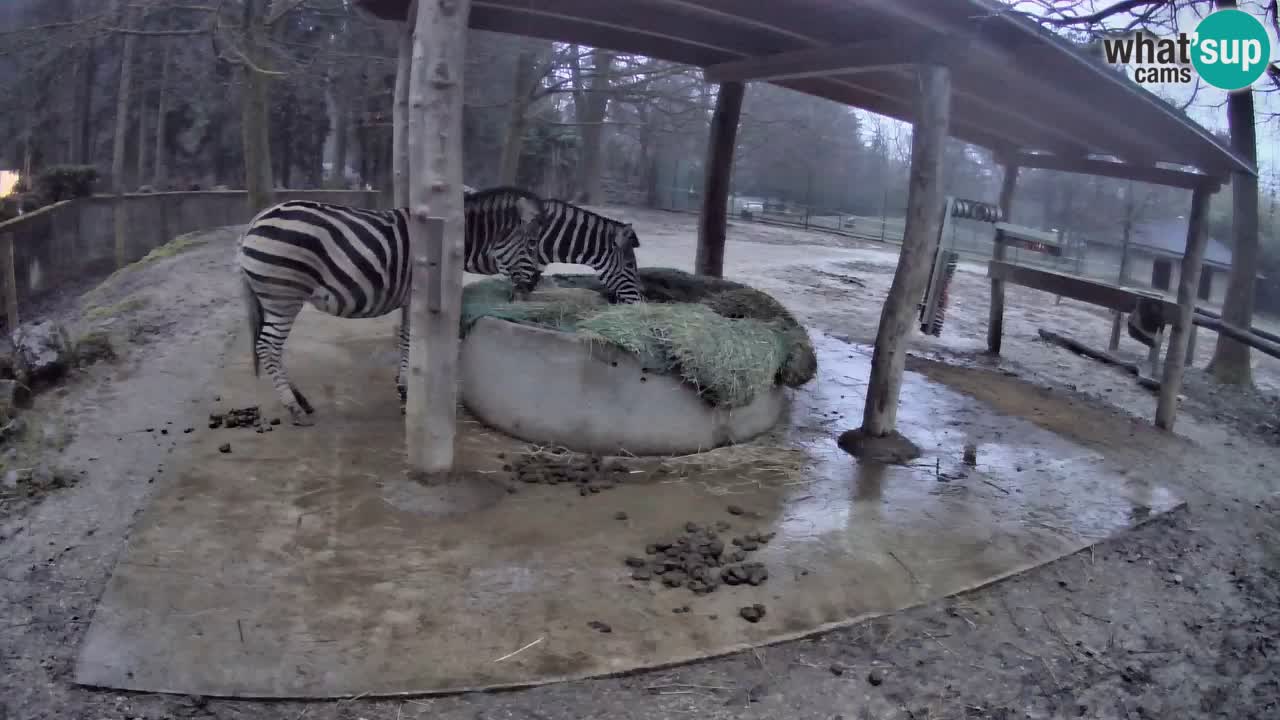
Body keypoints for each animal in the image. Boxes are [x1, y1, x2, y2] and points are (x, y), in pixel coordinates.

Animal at [238, 187, 546, 426]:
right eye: (532, 243)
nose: (534, 285)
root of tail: (255, 221)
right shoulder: (416, 296)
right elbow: (409, 339)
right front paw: (406, 392)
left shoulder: (410, 299)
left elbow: (405, 338)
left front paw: (402, 386)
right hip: (284, 297)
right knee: (267, 346)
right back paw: (294, 407)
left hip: (273, 299)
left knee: (270, 348)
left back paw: (300, 399)